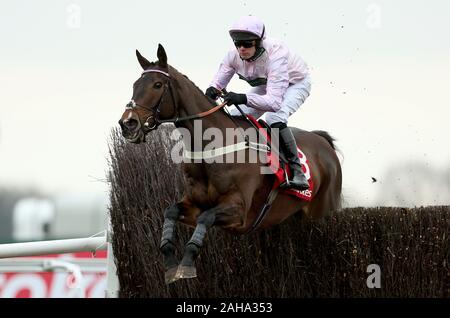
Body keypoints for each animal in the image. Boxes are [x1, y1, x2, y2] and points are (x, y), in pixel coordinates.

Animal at [118, 44, 342, 284]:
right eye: (135, 85)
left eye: (157, 84)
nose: (128, 124)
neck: (211, 148)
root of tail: (323, 141)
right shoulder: (194, 203)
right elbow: (170, 211)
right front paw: (170, 262)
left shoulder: (239, 210)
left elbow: (206, 218)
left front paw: (186, 262)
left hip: (324, 208)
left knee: (277, 119)